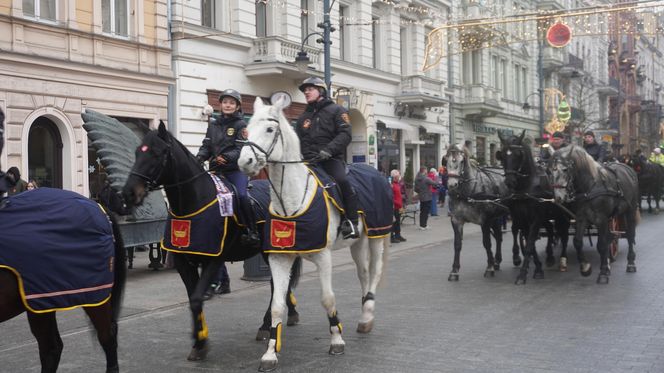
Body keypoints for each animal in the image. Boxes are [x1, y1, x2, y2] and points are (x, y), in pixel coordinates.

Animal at [122, 123, 300, 360]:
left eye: (157, 153)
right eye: (137, 152)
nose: (128, 193)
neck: (195, 204)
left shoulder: (214, 260)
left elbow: (197, 298)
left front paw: (201, 342)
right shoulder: (184, 262)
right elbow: (193, 300)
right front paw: (199, 341)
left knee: (277, 284)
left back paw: (268, 324)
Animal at [239, 95, 390, 370]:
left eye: (270, 129)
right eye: (247, 129)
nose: (245, 162)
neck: (291, 200)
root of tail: (376, 172)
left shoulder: (323, 256)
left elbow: (327, 298)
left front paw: (337, 340)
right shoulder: (279, 258)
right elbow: (277, 305)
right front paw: (270, 353)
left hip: (377, 235)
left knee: (374, 272)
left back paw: (367, 315)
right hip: (357, 242)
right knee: (363, 273)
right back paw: (364, 311)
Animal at [498, 130, 572, 282]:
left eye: (518, 154)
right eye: (502, 155)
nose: (509, 182)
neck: (524, 188)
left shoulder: (535, 218)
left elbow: (530, 242)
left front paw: (522, 274)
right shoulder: (522, 219)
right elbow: (529, 244)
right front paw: (537, 268)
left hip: (561, 216)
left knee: (563, 234)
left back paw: (562, 259)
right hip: (547, 217)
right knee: (550, 230)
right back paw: (549, 256)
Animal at [548, 145, 640, 282]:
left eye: (565, 169)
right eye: (549, 171)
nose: (558, 198)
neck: (589, 188)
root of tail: (628, 168)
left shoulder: (601, 219)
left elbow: (601, 244)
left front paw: (602, 273)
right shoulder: (582, 218)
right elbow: (577, 242)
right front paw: (586, 267)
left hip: (630, 211)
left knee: (629, 235)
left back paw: (630, 263)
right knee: (610, 237)